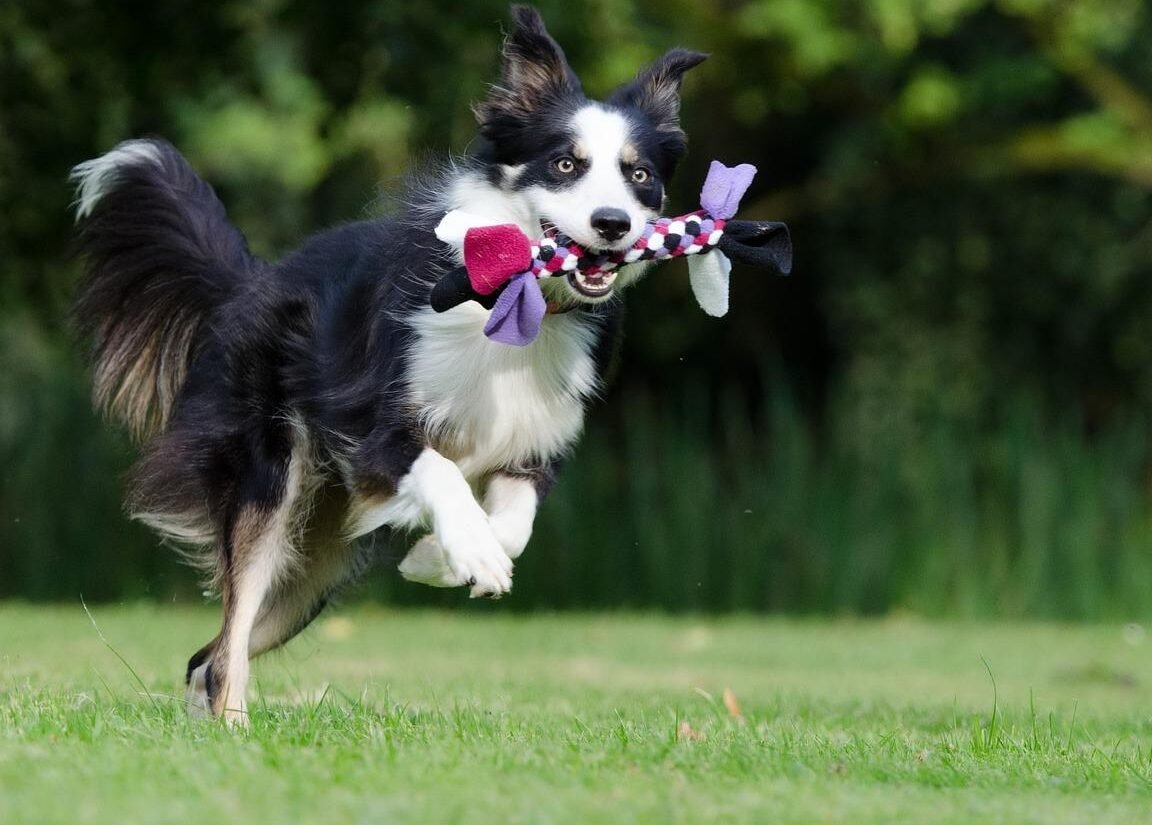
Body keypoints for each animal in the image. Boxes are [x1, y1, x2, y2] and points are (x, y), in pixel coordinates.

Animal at [72, 4, 705, 723]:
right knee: (228, 639)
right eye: (566, 163)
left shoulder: (534, 442)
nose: (613, 223)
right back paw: (234, 729)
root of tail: (250, 282)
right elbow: (441, 472)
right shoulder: (369, 423)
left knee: (207, 655)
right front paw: (470, 552)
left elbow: (515, 523)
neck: (518, 303)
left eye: (640, 175)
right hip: (272, 481)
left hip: (315, 564)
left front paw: (441, 558)